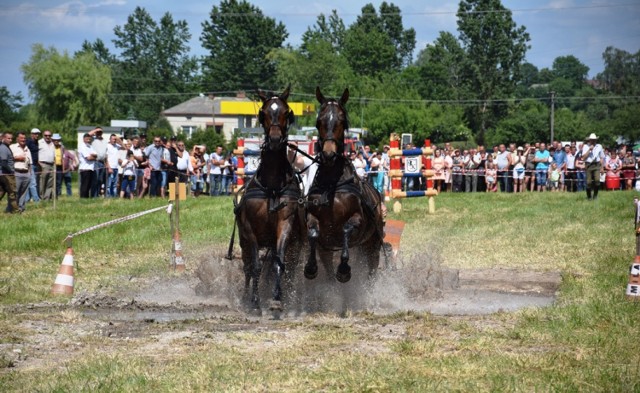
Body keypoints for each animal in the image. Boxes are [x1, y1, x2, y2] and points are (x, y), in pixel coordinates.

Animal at [234, 86, 304, 312]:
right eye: (263, 113)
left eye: (286, 112)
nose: (274, 140)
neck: (272, 185)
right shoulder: (249, 229)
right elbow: (255, 266)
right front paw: (255, 301)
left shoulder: (285, 224)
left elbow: (278, 262)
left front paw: (277, 298)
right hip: (243, 241)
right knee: (248, 267)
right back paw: (246, 296)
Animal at [302, 88, 382, 284]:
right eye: (319, 122)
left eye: (342, 121)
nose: (329, 154)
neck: (332, 185)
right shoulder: (317, 225)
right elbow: (313, 233)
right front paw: (310, 267)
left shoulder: (357, 220)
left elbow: (346, 229)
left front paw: (344, 269)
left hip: (372, 245)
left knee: (372, 269)